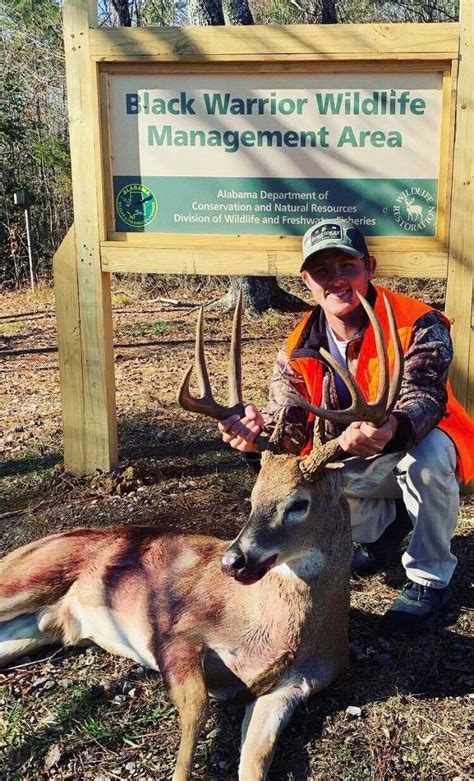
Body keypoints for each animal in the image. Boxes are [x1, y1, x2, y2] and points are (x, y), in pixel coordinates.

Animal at [0, 290, 404, 780]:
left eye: (298, 504)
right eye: (252, 495)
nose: (233, 561)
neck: (272, 631)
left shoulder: (295, 685)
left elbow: (256, 759)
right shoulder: (178, 632)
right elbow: (195, 713)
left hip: (44, 625)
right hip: (31, 572)